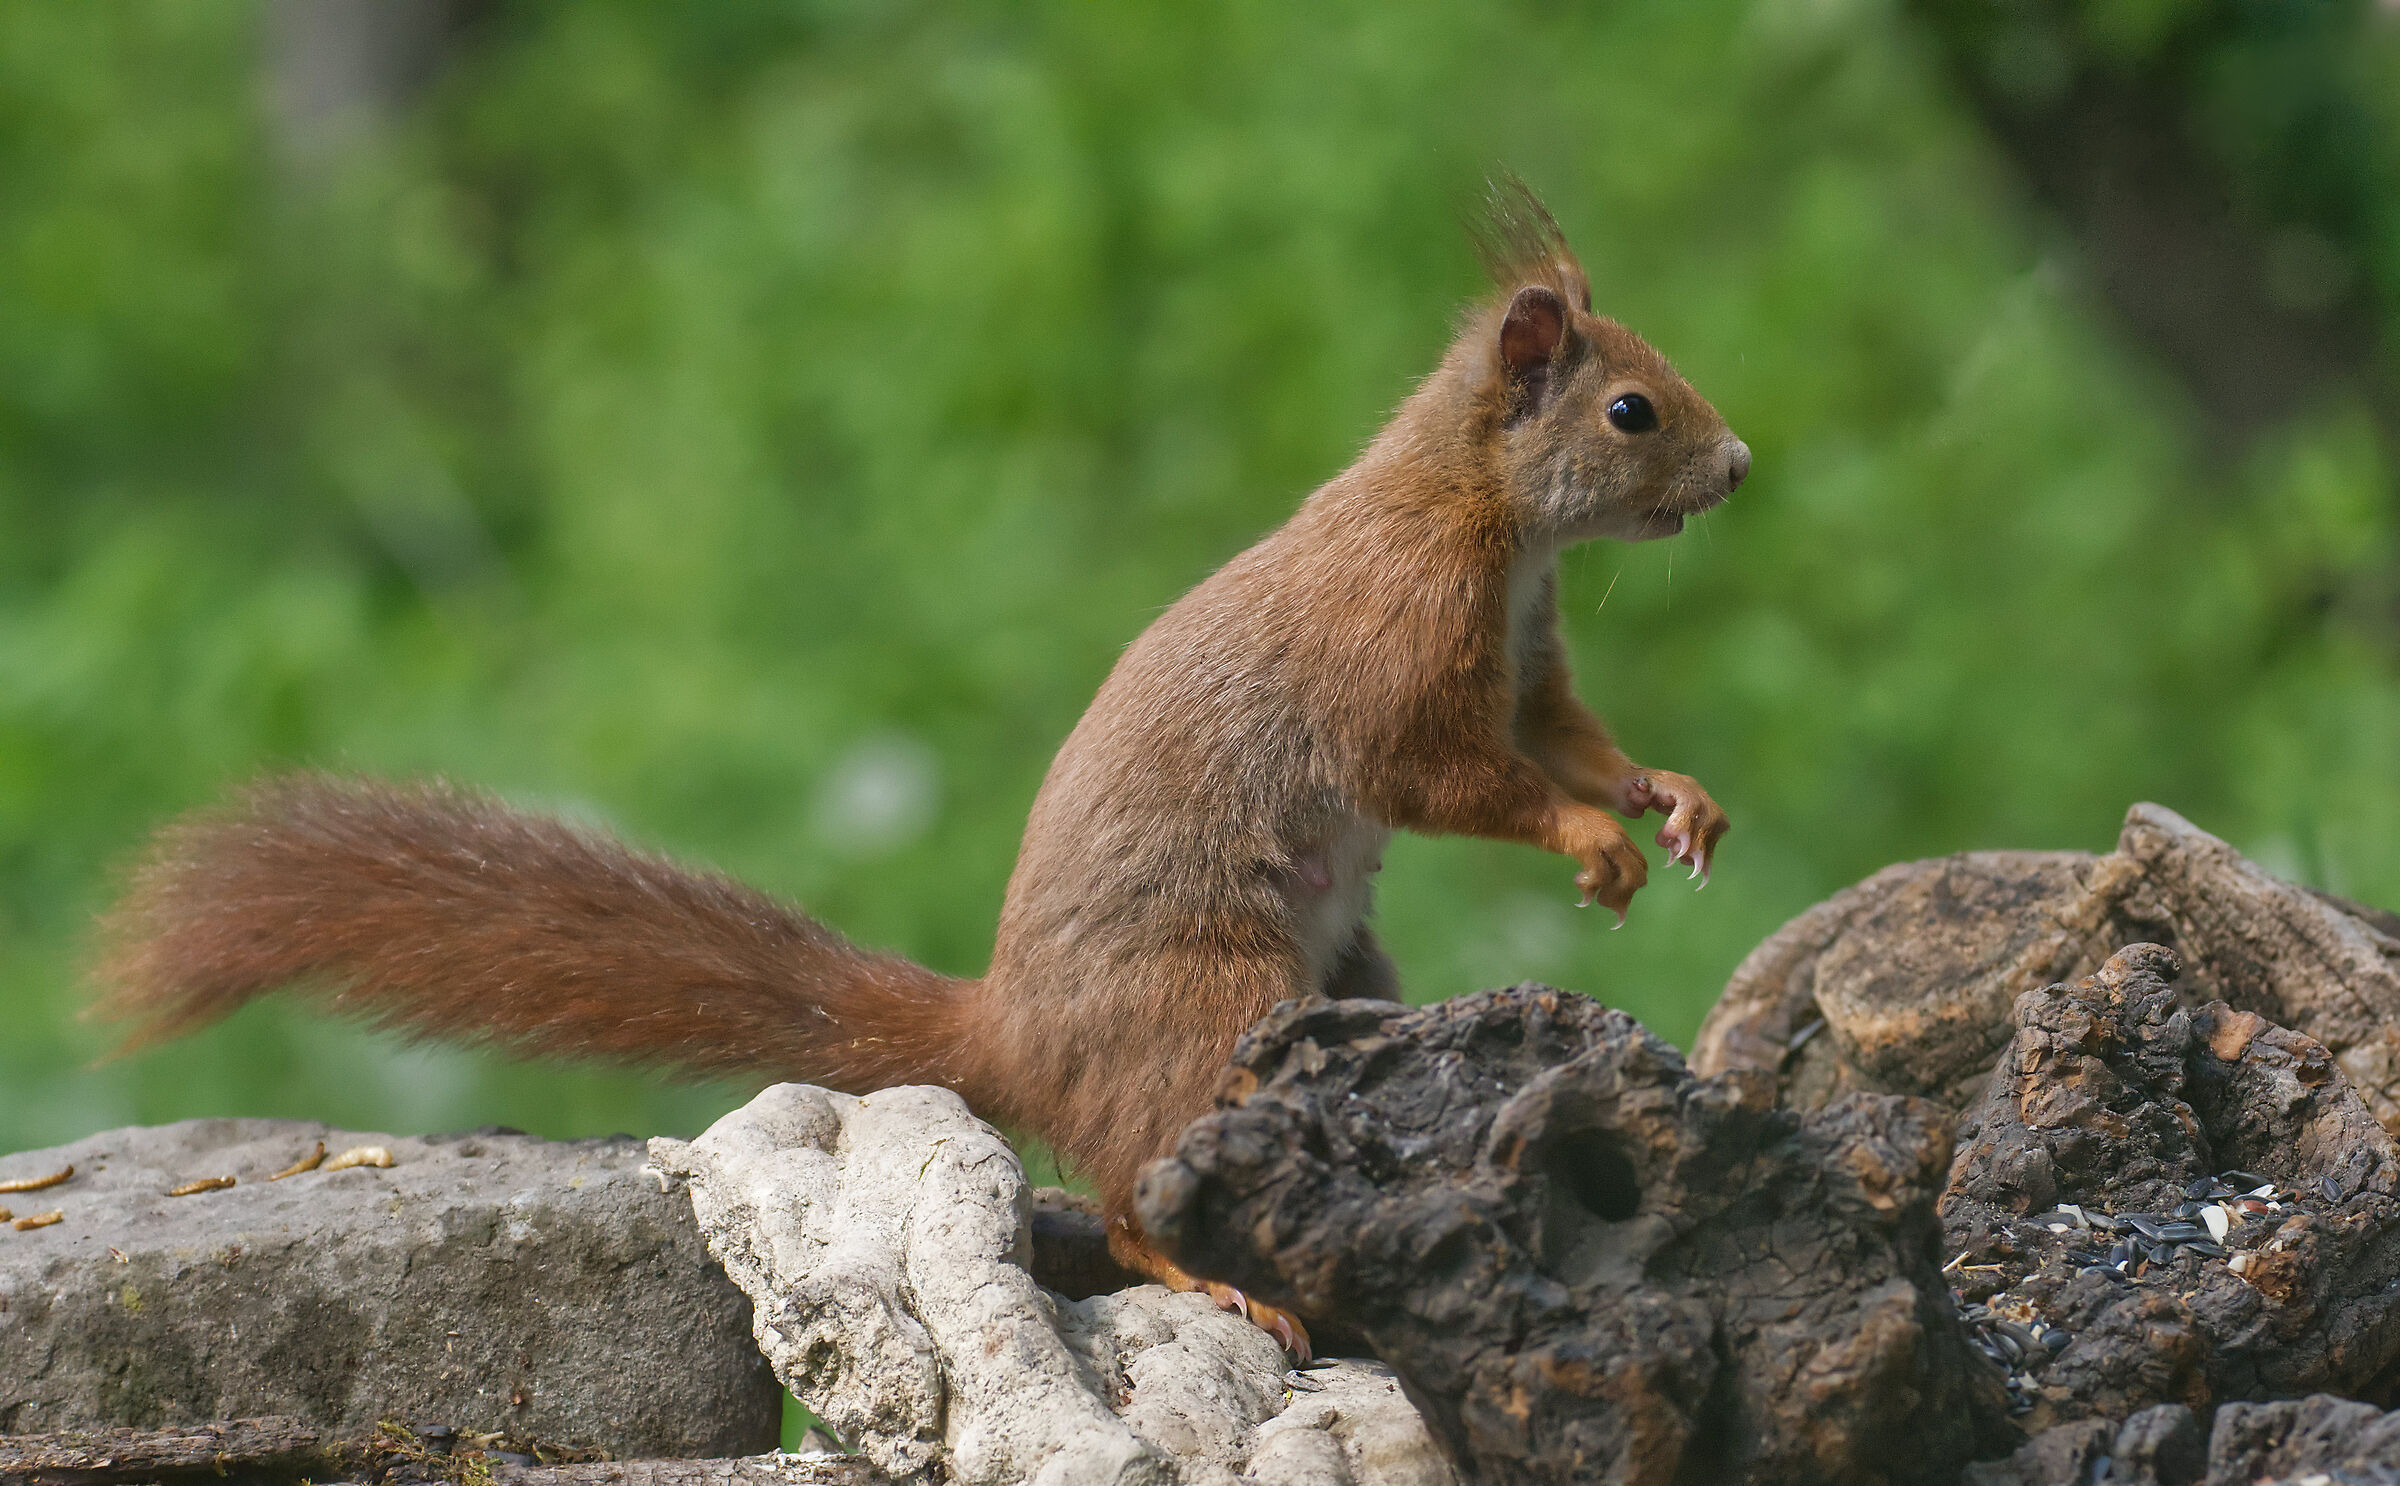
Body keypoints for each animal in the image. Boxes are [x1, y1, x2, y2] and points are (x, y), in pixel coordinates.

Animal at [91, 181, 1745, 1360]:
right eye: (1632, 409)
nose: (1738, 471)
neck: (1486, 517)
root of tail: (1010, 1035)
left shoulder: (1528, 655)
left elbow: (1565, 735)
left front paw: (1668, 801)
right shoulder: (1393, 648)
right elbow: (1452, 778)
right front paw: (1590, 840)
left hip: (1353, 975)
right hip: (1210, 1003)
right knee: (1132, 1195)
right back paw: (1224, 1285)